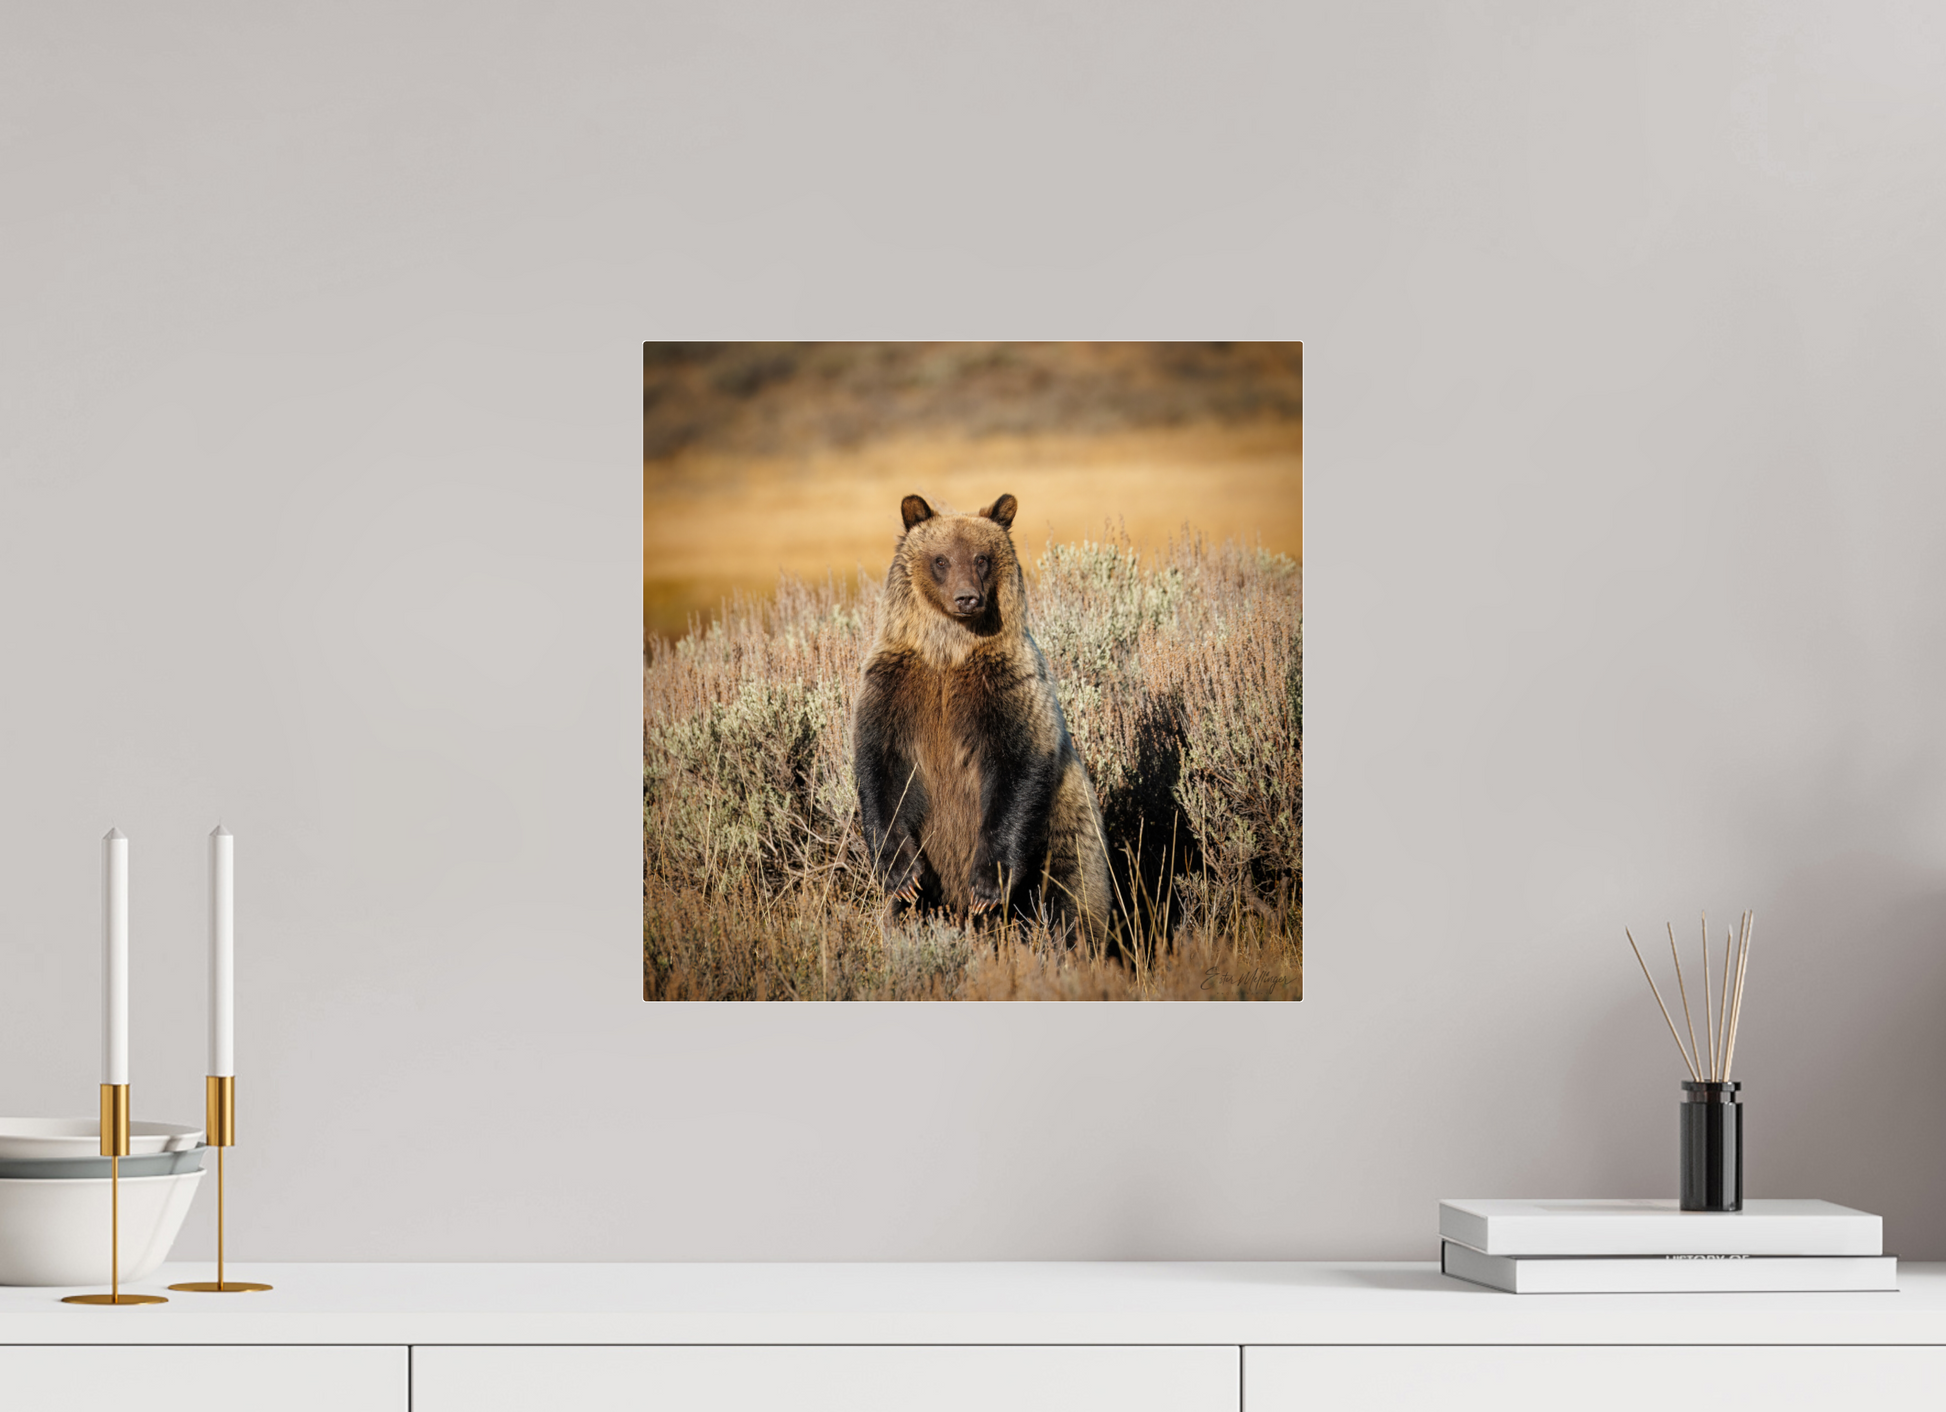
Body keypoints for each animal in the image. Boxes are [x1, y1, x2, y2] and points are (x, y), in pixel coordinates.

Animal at [853, 492, 1113, 944]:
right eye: (941, 559)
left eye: (981, 558)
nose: (967, 598)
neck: (948, 653)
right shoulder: (895, 688)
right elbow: (880, 770)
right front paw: (902, 874)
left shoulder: (1005, 687)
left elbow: (1017, 768)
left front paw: (986, 886)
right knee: (911, 914)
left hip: (1068, 828)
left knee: (1071, 898)